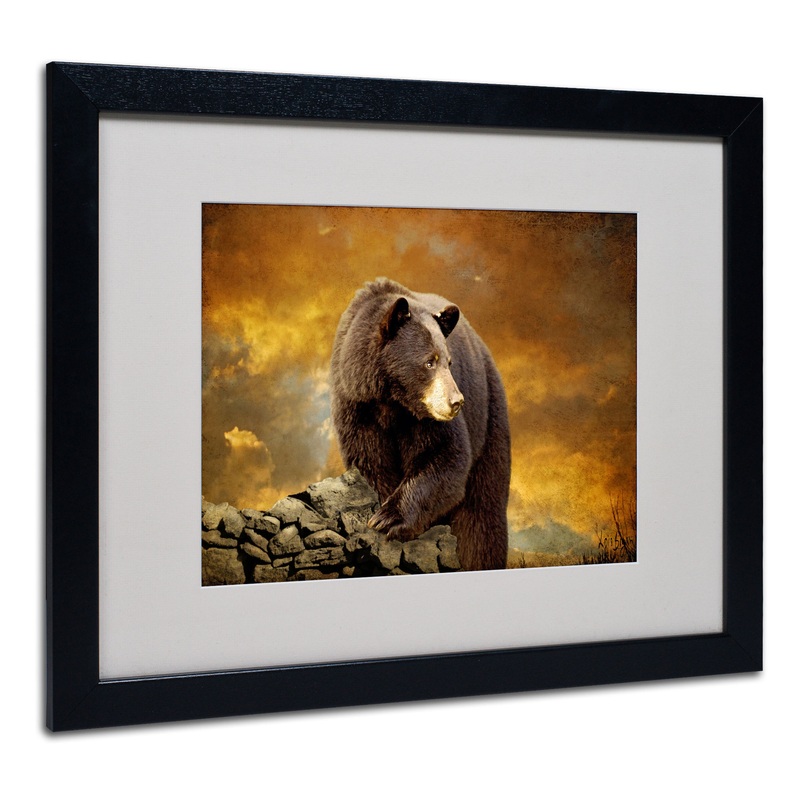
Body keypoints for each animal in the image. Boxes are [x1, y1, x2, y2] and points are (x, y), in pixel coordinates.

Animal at [329, 277, 511, 571]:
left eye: (449, 362)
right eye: (429, 362)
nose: (456, 402)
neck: (392, 401)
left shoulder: (426, 419)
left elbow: (445, 456)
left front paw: (388, 518)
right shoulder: (357, 407)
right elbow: (370, 461)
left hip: (489, 418)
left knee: (481, 514)